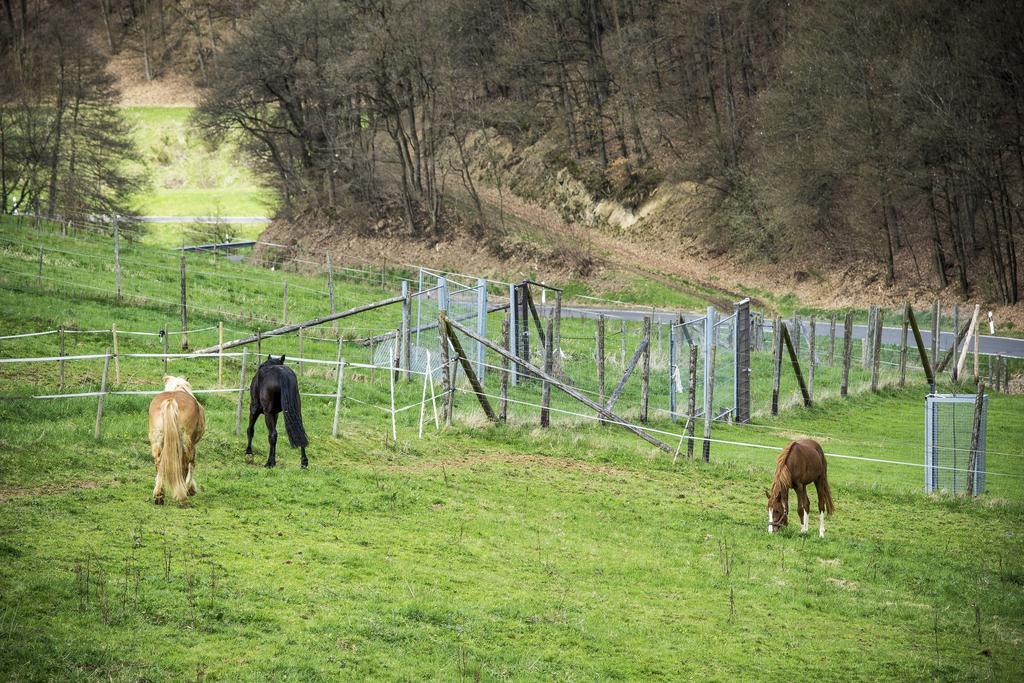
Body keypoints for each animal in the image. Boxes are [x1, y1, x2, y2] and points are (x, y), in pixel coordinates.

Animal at [148, 376, 205, 505]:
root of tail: (171, 400)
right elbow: (192, 464)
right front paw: (190, 489)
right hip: (187, 442)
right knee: (185, 464)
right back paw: (183, 494)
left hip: (157, 441)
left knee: (159, 463)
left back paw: (159, 495)